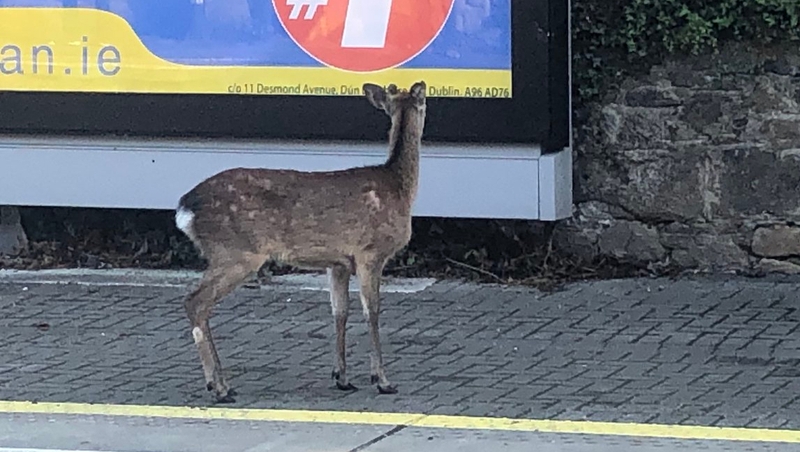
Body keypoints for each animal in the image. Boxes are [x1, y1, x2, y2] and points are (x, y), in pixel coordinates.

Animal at [174, 81, 427, 403]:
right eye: (425, 103)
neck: (399, 188)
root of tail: (185, 209)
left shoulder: (338, 262)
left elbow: (339, 311)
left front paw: (341, 377)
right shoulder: (370, 253)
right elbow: (372, 312)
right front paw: (382, 380)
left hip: (228, 254)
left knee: (200, 304)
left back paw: (224, 384)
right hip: (237, 252)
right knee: (195, 302)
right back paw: (218, 387)